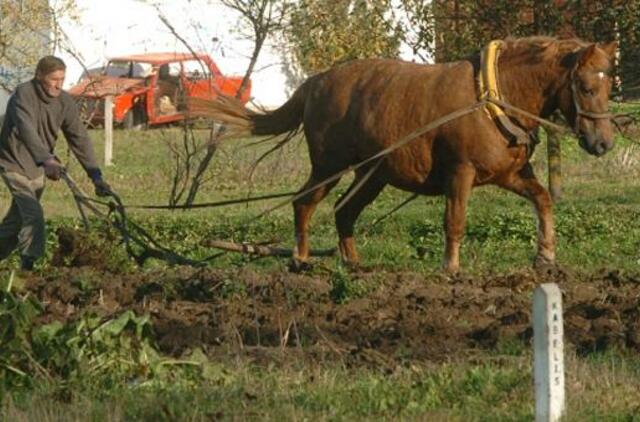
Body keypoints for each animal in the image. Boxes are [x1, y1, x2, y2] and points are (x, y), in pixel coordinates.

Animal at [192, 38, 616, 272]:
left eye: (608, 84)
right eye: (584, 86)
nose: (604, 144)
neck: (493, 96)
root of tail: (316, 82)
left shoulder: (510, 174)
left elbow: (543, 199)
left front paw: (545, 256)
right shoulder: (460, 172)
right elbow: (454, 221)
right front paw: (451, 267)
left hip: (372, 174)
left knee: (344, 211)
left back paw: (353, 263)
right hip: (329, 166)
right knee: (304, 203)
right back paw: (300, 258)